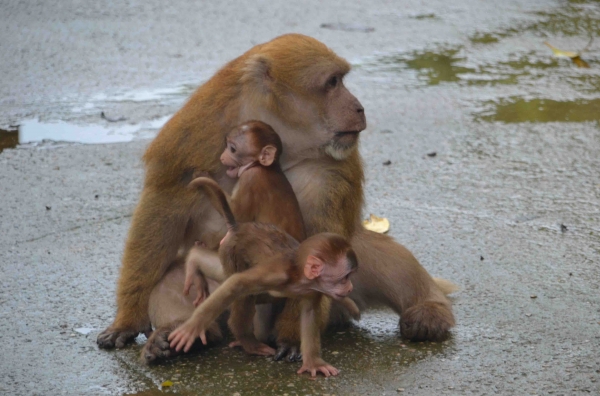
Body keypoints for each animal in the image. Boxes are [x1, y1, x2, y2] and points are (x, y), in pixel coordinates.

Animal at [98, 34, 454, 362]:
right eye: (333, 82)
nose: (358, 107)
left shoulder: (327, 175)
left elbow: (318, 245)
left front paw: (294, 339)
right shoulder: (195, 134)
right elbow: (163, 206)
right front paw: (127, 321)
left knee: (377, 254)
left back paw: (428, 310)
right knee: (175, 278)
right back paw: (182, 335)